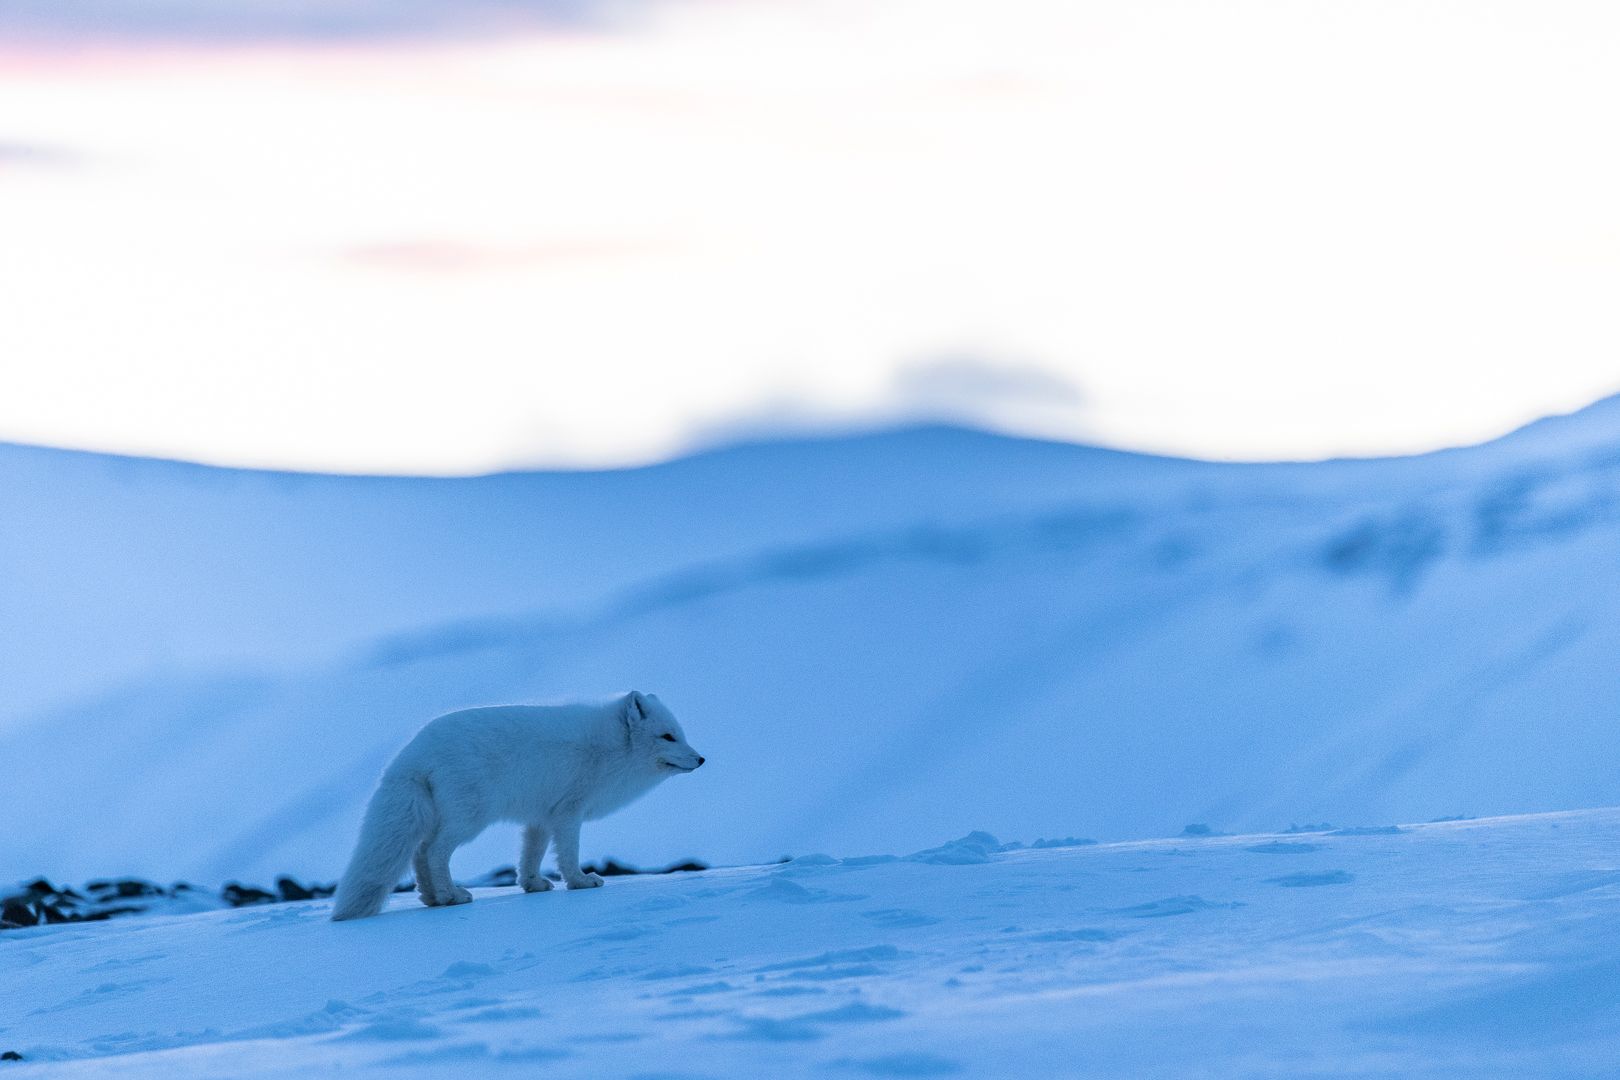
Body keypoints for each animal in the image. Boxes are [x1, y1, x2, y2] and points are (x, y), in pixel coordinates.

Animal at [330, 691, 704, 921]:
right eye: (668, 736)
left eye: (681, 734)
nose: (701, 759)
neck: (611, 748)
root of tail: (411, 753)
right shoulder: (569, 812)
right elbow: (568, 855)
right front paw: (580, 882)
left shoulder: (540, 817)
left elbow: (530, 856)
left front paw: (533, 885)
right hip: (469, 819)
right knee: (434, 851)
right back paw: (451, 896)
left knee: (420, 853)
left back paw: (434, 898)